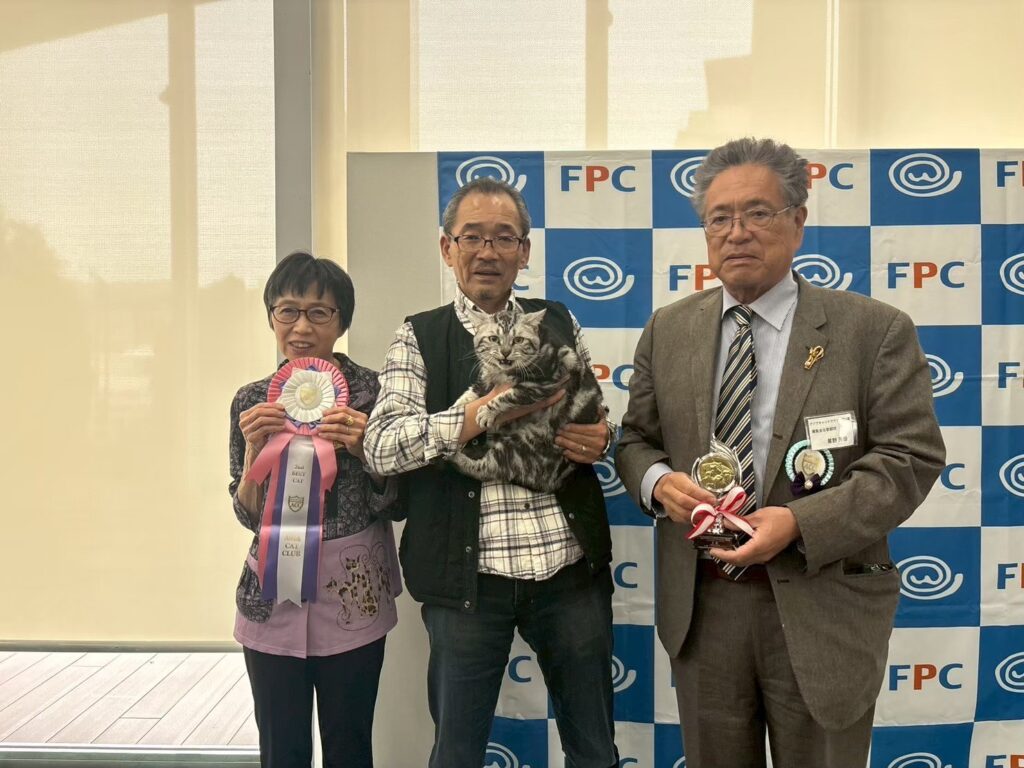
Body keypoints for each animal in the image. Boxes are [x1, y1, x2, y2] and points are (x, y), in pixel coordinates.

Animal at [449, 308, 605, 493]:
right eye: (494, 339)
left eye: (518, 340)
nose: (505, 352)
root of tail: (551, 482)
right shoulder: (485, 380)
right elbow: (470, 394)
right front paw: (455, 409)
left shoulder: (541, 384)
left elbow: (507, 396)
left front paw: (487, 411)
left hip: (521, 447)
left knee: (487, 468)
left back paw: (453, 457)